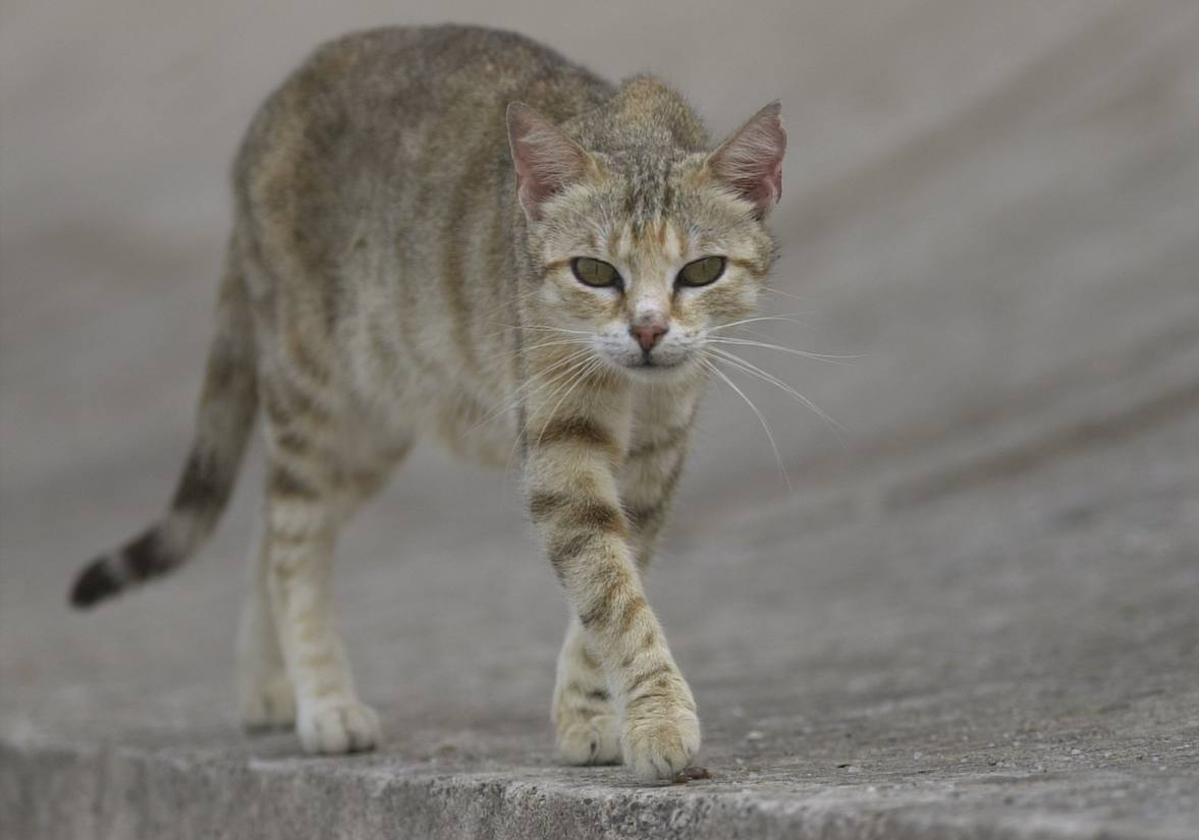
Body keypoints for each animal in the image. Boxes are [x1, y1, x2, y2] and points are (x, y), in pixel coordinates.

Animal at [72, 22, 786, 781]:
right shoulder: (562, 440)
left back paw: (267, 686)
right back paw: (323, 702)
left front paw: (588, 716)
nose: (648, 330)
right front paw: (657, 720)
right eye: (594, 271)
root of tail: (268, 115)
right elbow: (609, 592)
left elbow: (611, 588)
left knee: (267, 535)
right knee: (293, 544)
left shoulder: (655, 457)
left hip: (374, 427)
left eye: (701, 270)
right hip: (315, 396)